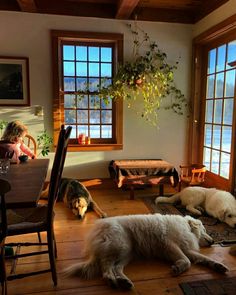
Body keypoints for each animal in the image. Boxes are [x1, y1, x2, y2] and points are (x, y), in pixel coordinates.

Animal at [63, 214, 229, 290]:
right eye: (205, 229)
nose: (213, 241)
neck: (186, 227)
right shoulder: (169, 245)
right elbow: (187, 261)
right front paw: (178, 268)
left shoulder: (186, 249)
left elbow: (204, 258)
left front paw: (218, 266)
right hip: (120, 245)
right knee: (106, 266)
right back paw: (111, 280)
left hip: (127, 253)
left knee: (116, 267)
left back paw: (123, 281)